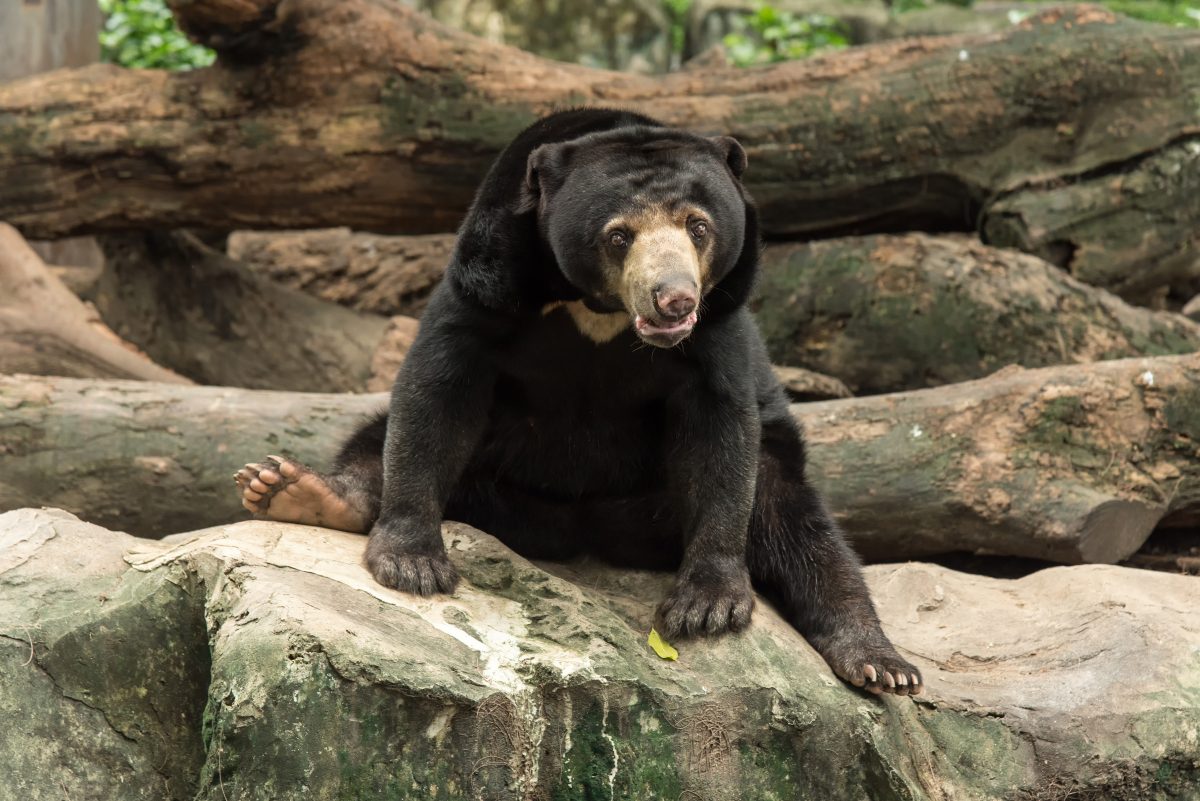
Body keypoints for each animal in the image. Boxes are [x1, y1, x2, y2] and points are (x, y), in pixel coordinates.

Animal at [236, 106, 926, 695]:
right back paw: (291, 489)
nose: (673, 299)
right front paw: (413, 565)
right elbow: (437, 393)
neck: (598, 307)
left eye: (699, 226)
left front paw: (707, 606)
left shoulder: (720, 320)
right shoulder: (489, 276)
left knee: (802, 527)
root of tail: (586, 530)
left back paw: (880, 663)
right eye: (618, 236)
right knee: (370, 441)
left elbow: (721, 434)